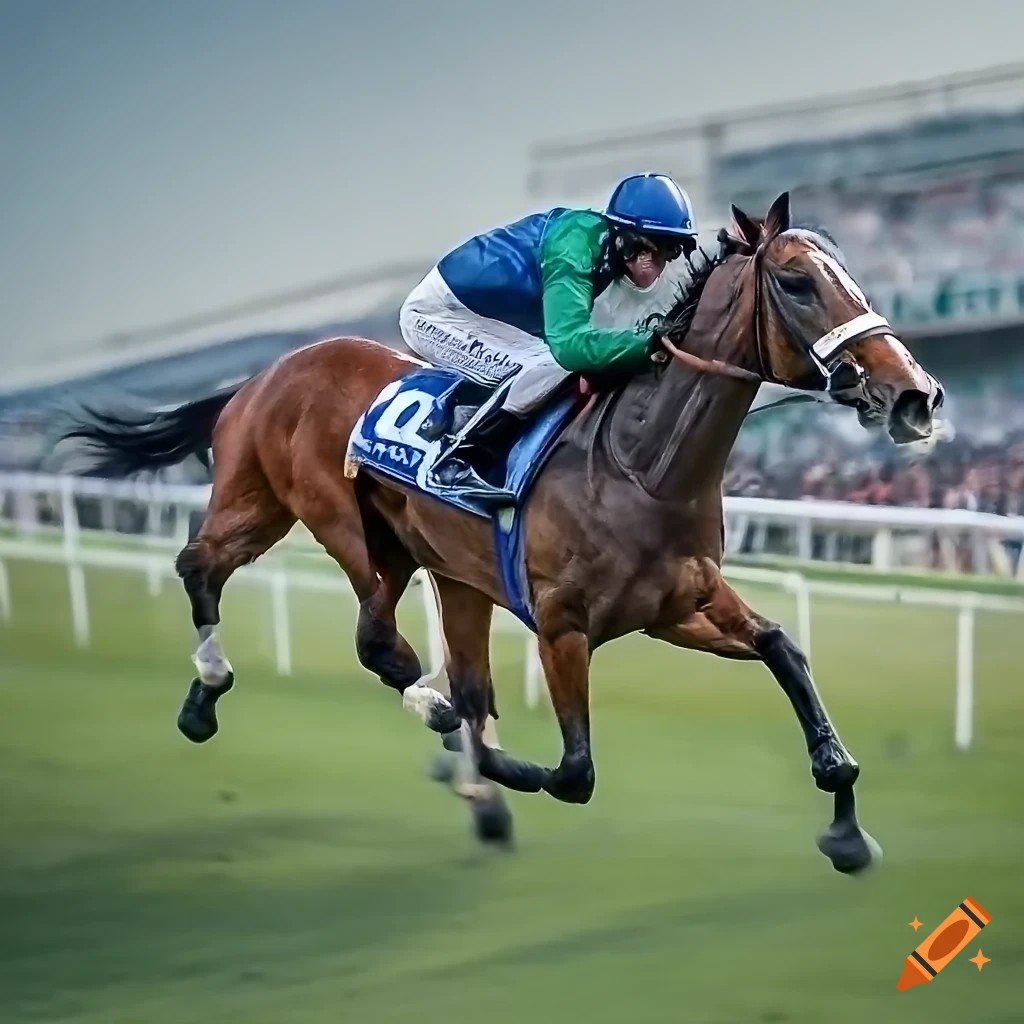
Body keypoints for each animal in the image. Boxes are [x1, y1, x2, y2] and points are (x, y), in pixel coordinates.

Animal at [61, 192, 943, 872]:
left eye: (850, 273)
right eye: (796, 281)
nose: (917, 395)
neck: (638, 466)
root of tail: (261, 375)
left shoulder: (678, 606)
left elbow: (784, 650)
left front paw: (845, 821)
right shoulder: (562, 625)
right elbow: (574, 770)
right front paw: (489, 766)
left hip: (430, 566)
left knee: (291, 603)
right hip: (326, 519)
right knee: (337, 626)